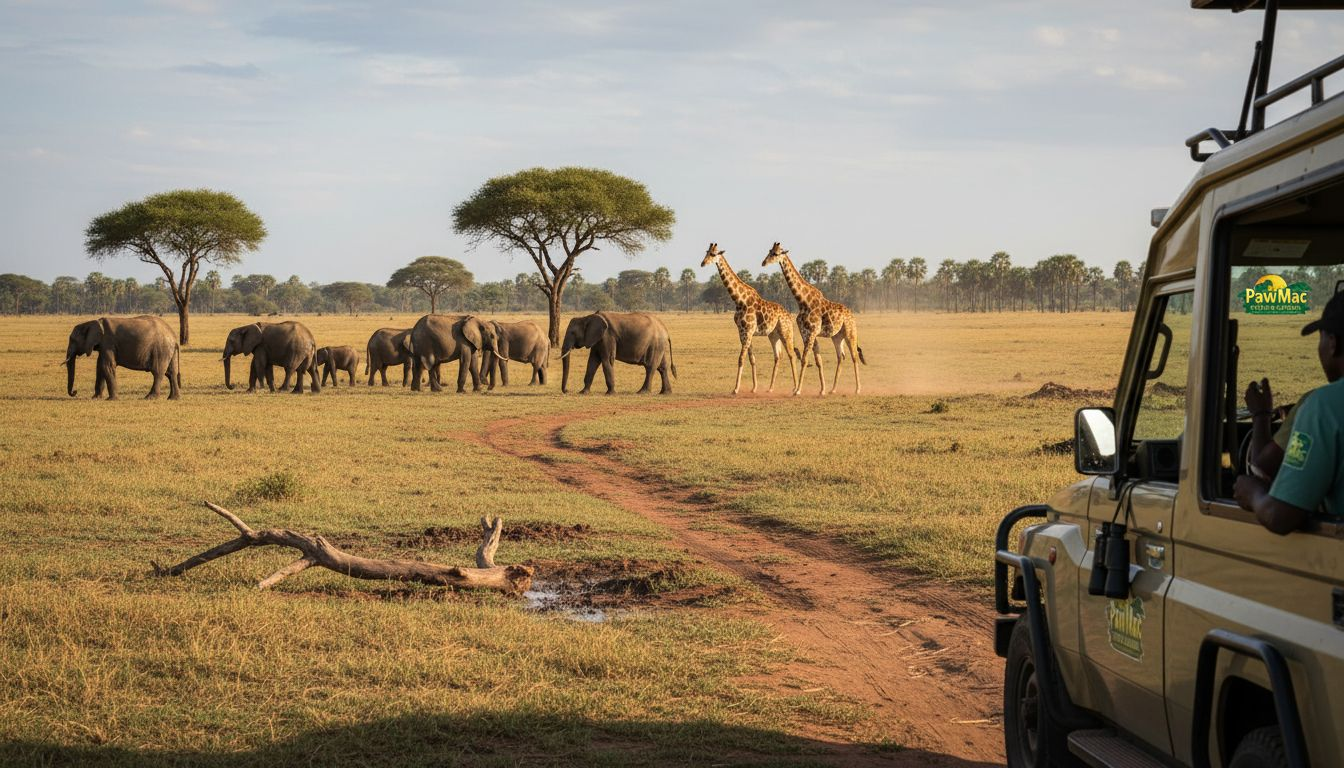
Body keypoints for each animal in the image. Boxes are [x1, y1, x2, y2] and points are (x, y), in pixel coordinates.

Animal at [702, 243, 799, 394]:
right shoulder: (743, 332)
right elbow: (751, 358)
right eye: (706, 252)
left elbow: (741, 359)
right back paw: (771, 388)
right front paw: (754, 388)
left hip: (786, 332)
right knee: (778, 355)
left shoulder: (747, 331)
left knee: (791, 354)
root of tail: (789, 316)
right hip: (773, 334)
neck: (739, 300)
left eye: (713, 254)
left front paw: (736, 389)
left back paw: (795, 388)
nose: (702, 263)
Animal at [762, 242, 866, 395]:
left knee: (854, 356)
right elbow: (817, 360)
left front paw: (797, 390)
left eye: (776, 253)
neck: (802, 301)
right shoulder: (807, 333)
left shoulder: (811, 332)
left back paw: (858, 389)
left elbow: (805, 359)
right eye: (769, 251)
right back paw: (833, 389)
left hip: (850, 332)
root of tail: (852, 315)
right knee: (841, 356)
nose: (763, 262)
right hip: (837, 336)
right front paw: (822, 390)